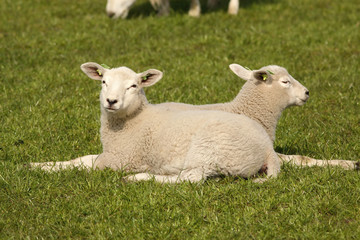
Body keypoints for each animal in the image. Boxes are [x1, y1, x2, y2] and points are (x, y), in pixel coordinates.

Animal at [31, 62, 282, 182]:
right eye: (103, 82)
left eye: (133, 86)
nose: (111, 101)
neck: (134, 120)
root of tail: (267, 149)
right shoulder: (111, 155)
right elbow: (78, 159)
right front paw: (35, 165)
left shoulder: (120, 160)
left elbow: (82, 165)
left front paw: (47, 169)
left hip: (210, 149)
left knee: (191, 179)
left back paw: (138, 179)